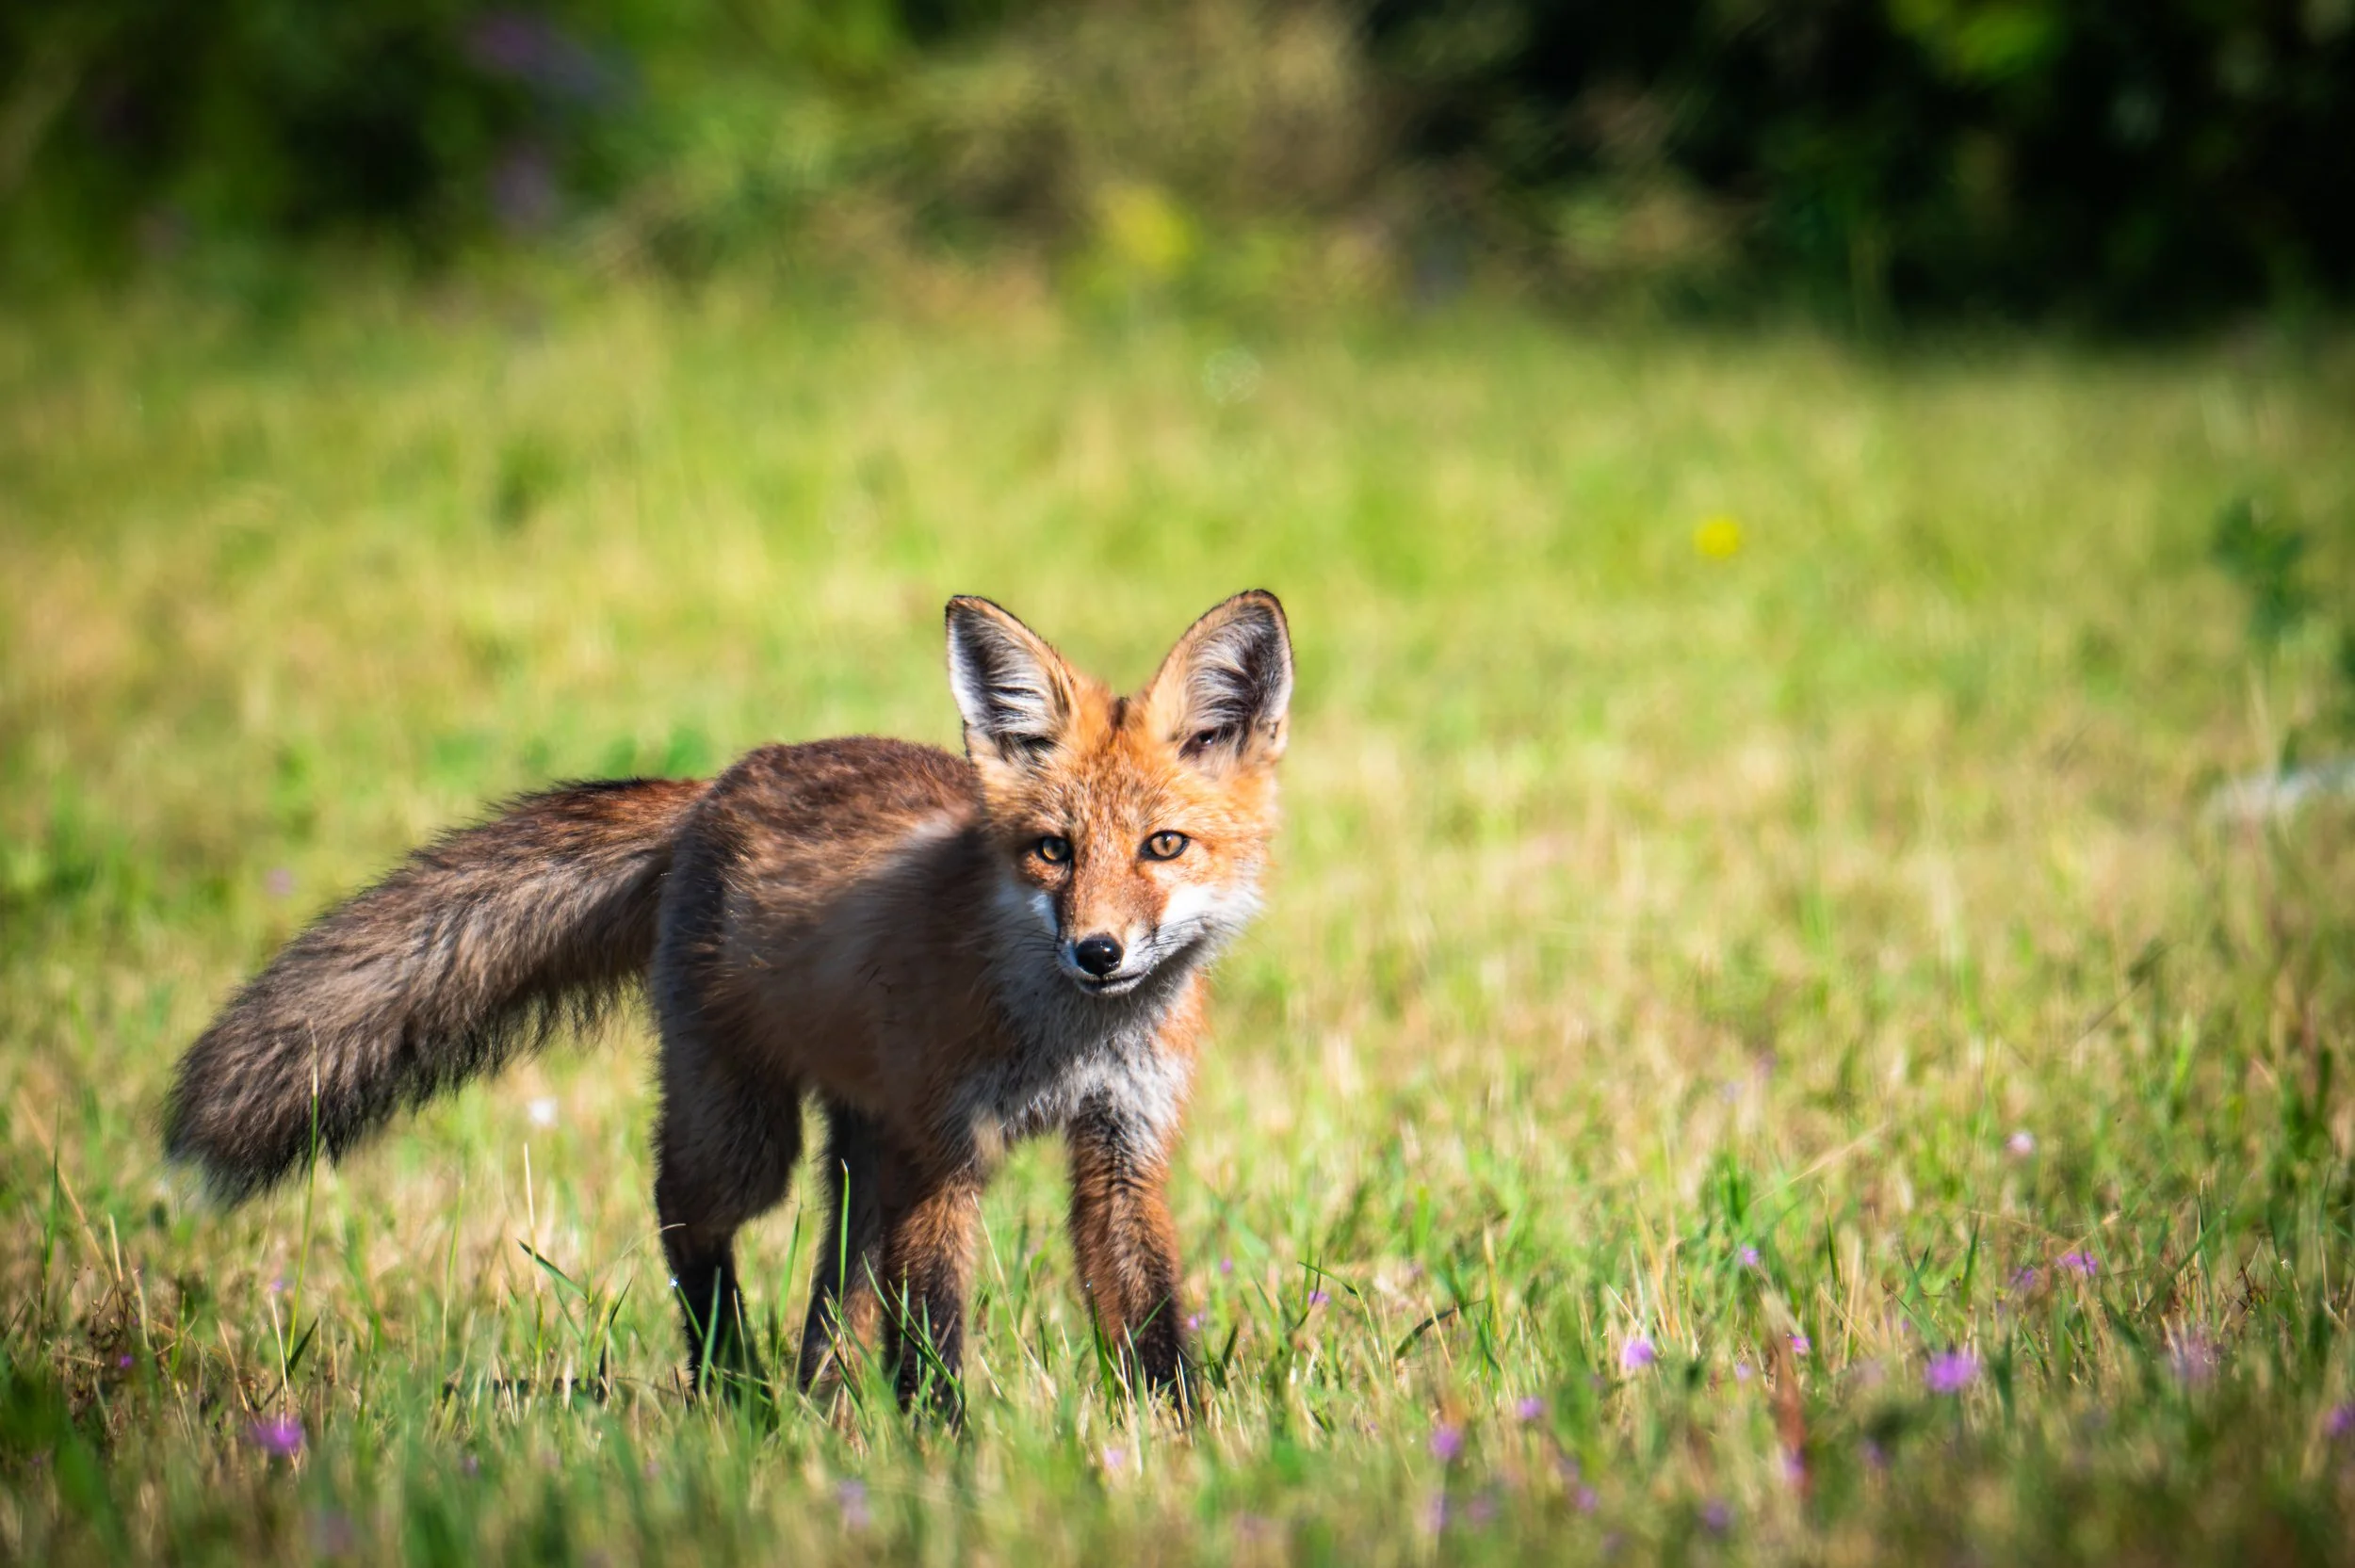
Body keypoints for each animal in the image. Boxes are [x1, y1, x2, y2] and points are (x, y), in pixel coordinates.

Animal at [163, 590, 1291, 1415]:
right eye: (1053, 850)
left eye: (1163, 846)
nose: (1097, 952)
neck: (1067, 1037)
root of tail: (717, 782)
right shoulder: (946, 1152)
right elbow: (933, 1337)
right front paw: (949, 1460)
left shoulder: (1119, 1146)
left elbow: (1149, 1322)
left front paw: (1183, 1444)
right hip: (750, 1141)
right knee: (680, 1212)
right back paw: (731, 1387)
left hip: (863, 1152)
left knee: (834, 1290)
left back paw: (814, 1406)